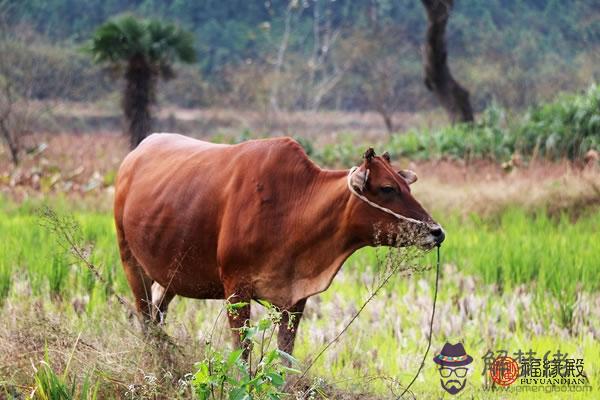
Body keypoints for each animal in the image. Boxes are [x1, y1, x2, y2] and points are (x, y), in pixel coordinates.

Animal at [115, 133, 446, 354]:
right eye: (388, 188)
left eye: (406, 186)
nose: (437, 232)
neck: (293, 208)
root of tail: (134, 155)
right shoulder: (235, 289)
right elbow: (242, 354)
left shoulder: (296, 298)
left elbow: (285, 357)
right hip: (131, 261)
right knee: (146, 319)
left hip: (171, 275)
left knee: (158, 315)